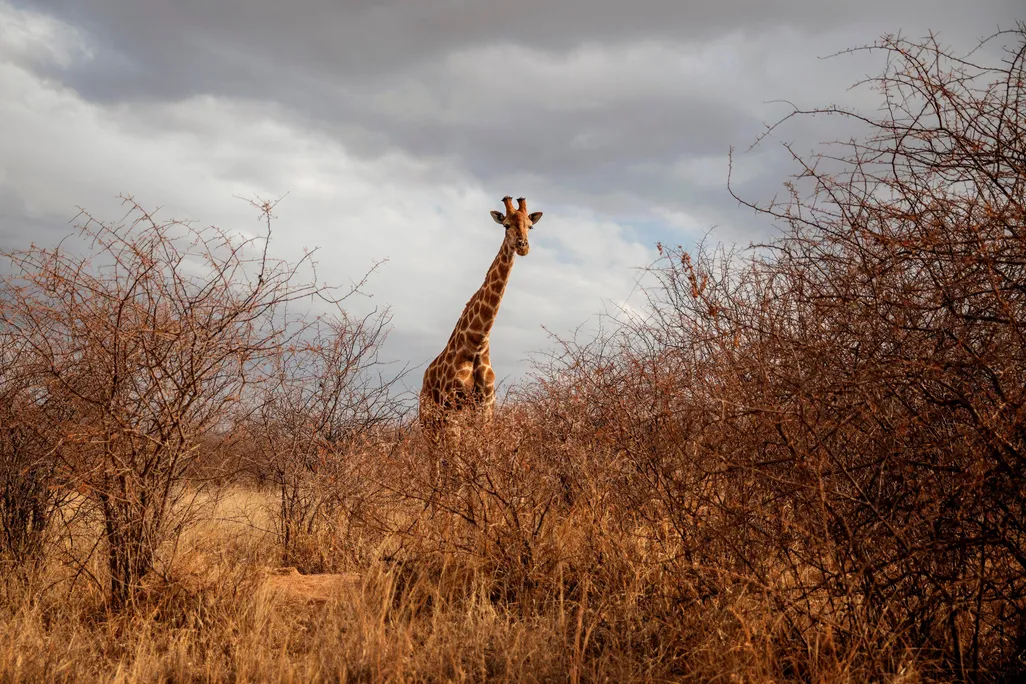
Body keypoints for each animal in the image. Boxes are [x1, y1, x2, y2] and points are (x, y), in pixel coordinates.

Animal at [419, 195, 543, 445]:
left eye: (530, 226)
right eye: (506, 225)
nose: (523, 246)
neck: (476, 342)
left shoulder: (486, 407)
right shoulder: (453, 408)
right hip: (429, 421)